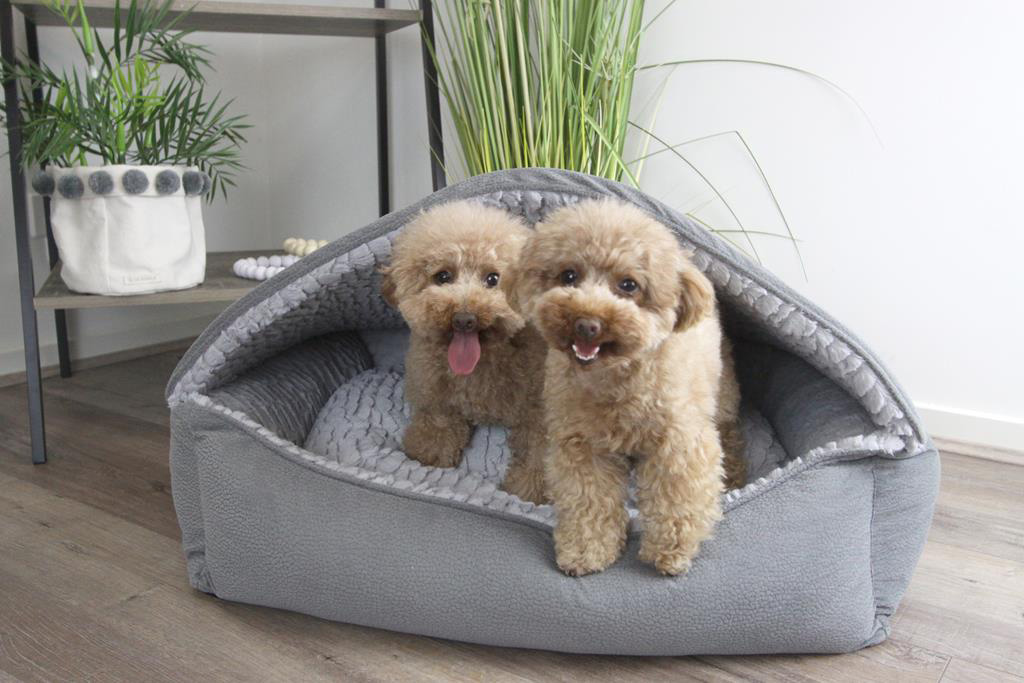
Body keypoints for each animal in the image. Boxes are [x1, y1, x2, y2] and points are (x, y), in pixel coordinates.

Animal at [379, 201, 548, 504]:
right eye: (443, 276)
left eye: (493, 278)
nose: (465, 319)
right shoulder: (436, 396)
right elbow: (439, 426)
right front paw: (429, 456)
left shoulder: (538, 406)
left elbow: (538, 450)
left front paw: (529, 489)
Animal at [509, 198, 746, 576]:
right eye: (569, 275)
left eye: (629, 285)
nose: (587, 324)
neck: (616, 380)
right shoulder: (583, 446)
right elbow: (589, 501)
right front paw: (585, 552)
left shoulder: (678, 443)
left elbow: (677, 499)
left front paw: (670, 553)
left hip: (721, 395)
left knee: (730, 434)